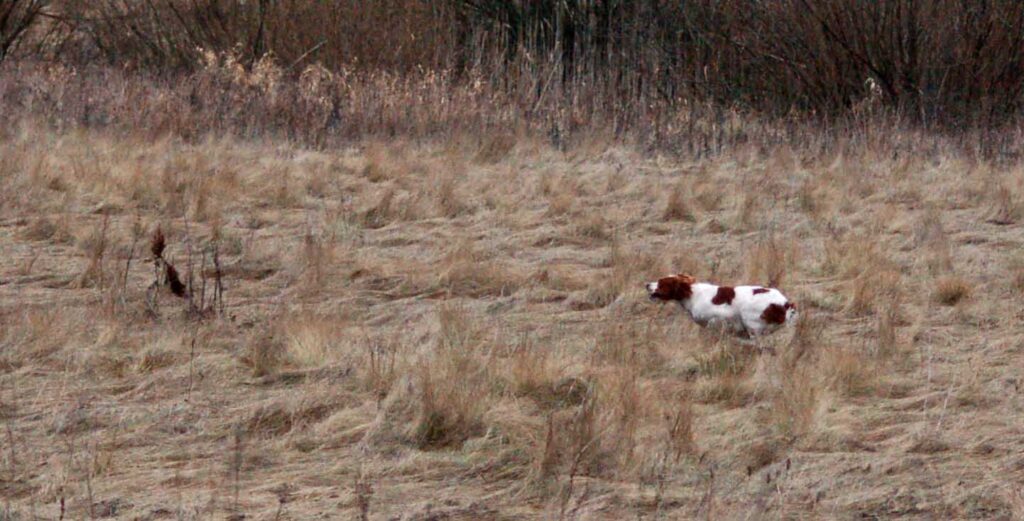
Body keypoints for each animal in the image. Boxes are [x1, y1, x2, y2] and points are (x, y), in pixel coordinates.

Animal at [643, 272, 794, 337]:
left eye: (661, 283)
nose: (647, 284)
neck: (693, 294)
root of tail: (784, 303)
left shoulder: (718, 319)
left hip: (752, 323)